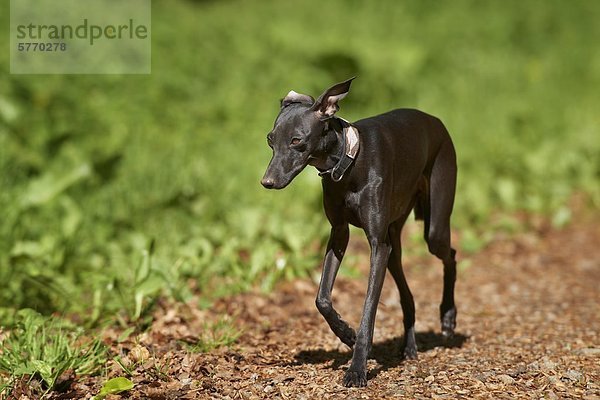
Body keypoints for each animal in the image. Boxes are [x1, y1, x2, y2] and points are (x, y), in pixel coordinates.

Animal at [260, 78, 458, 388]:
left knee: (450, 254)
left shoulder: (376, 245)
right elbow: (322, 298)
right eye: (271, 139)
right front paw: (346, 334)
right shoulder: (339, 234)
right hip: (394, 242)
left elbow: (368, 311)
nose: (266, 182)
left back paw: (448, 316)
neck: (348, 164)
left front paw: (357, 368)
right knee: (407, 292)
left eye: (296, 141)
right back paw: (410, 346)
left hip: (435, 225)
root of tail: (435, 121)